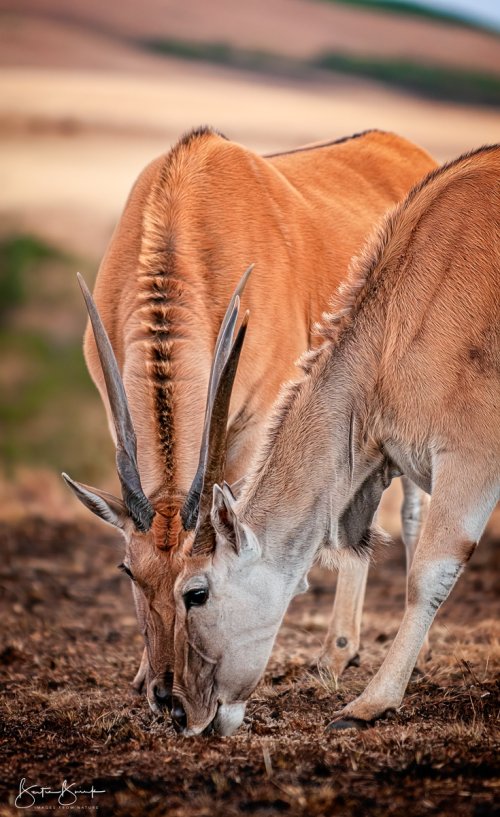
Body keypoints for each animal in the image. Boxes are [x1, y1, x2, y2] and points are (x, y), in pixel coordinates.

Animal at [60, 124, 436, 716]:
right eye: (129, 572)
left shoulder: (259, 423)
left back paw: (354, 654)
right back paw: (339, 653)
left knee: (411, 511)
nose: (166, 690)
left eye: (198, 588)